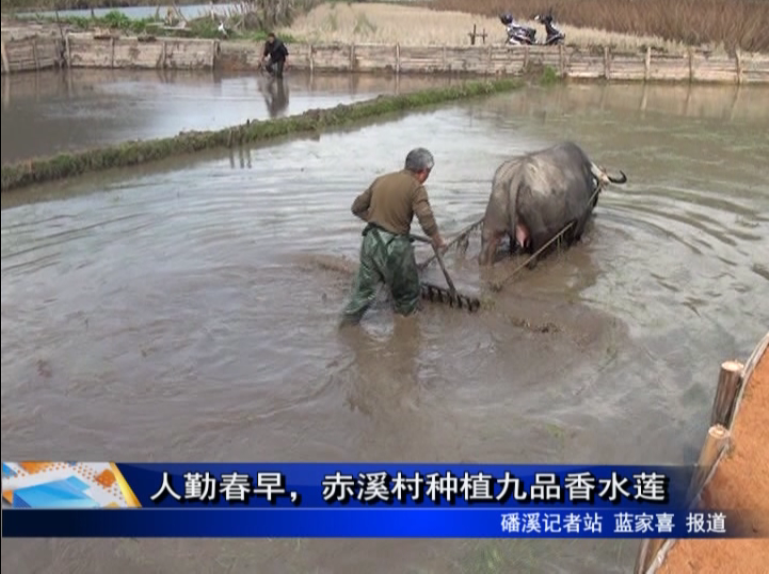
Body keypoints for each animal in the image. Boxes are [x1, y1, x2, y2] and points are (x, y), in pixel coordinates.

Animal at [476, 141, 628, 266]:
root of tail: (517, 176)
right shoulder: (579, 222)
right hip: (540, 234)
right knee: (533, 260)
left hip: (491, 229)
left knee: (486, 252)